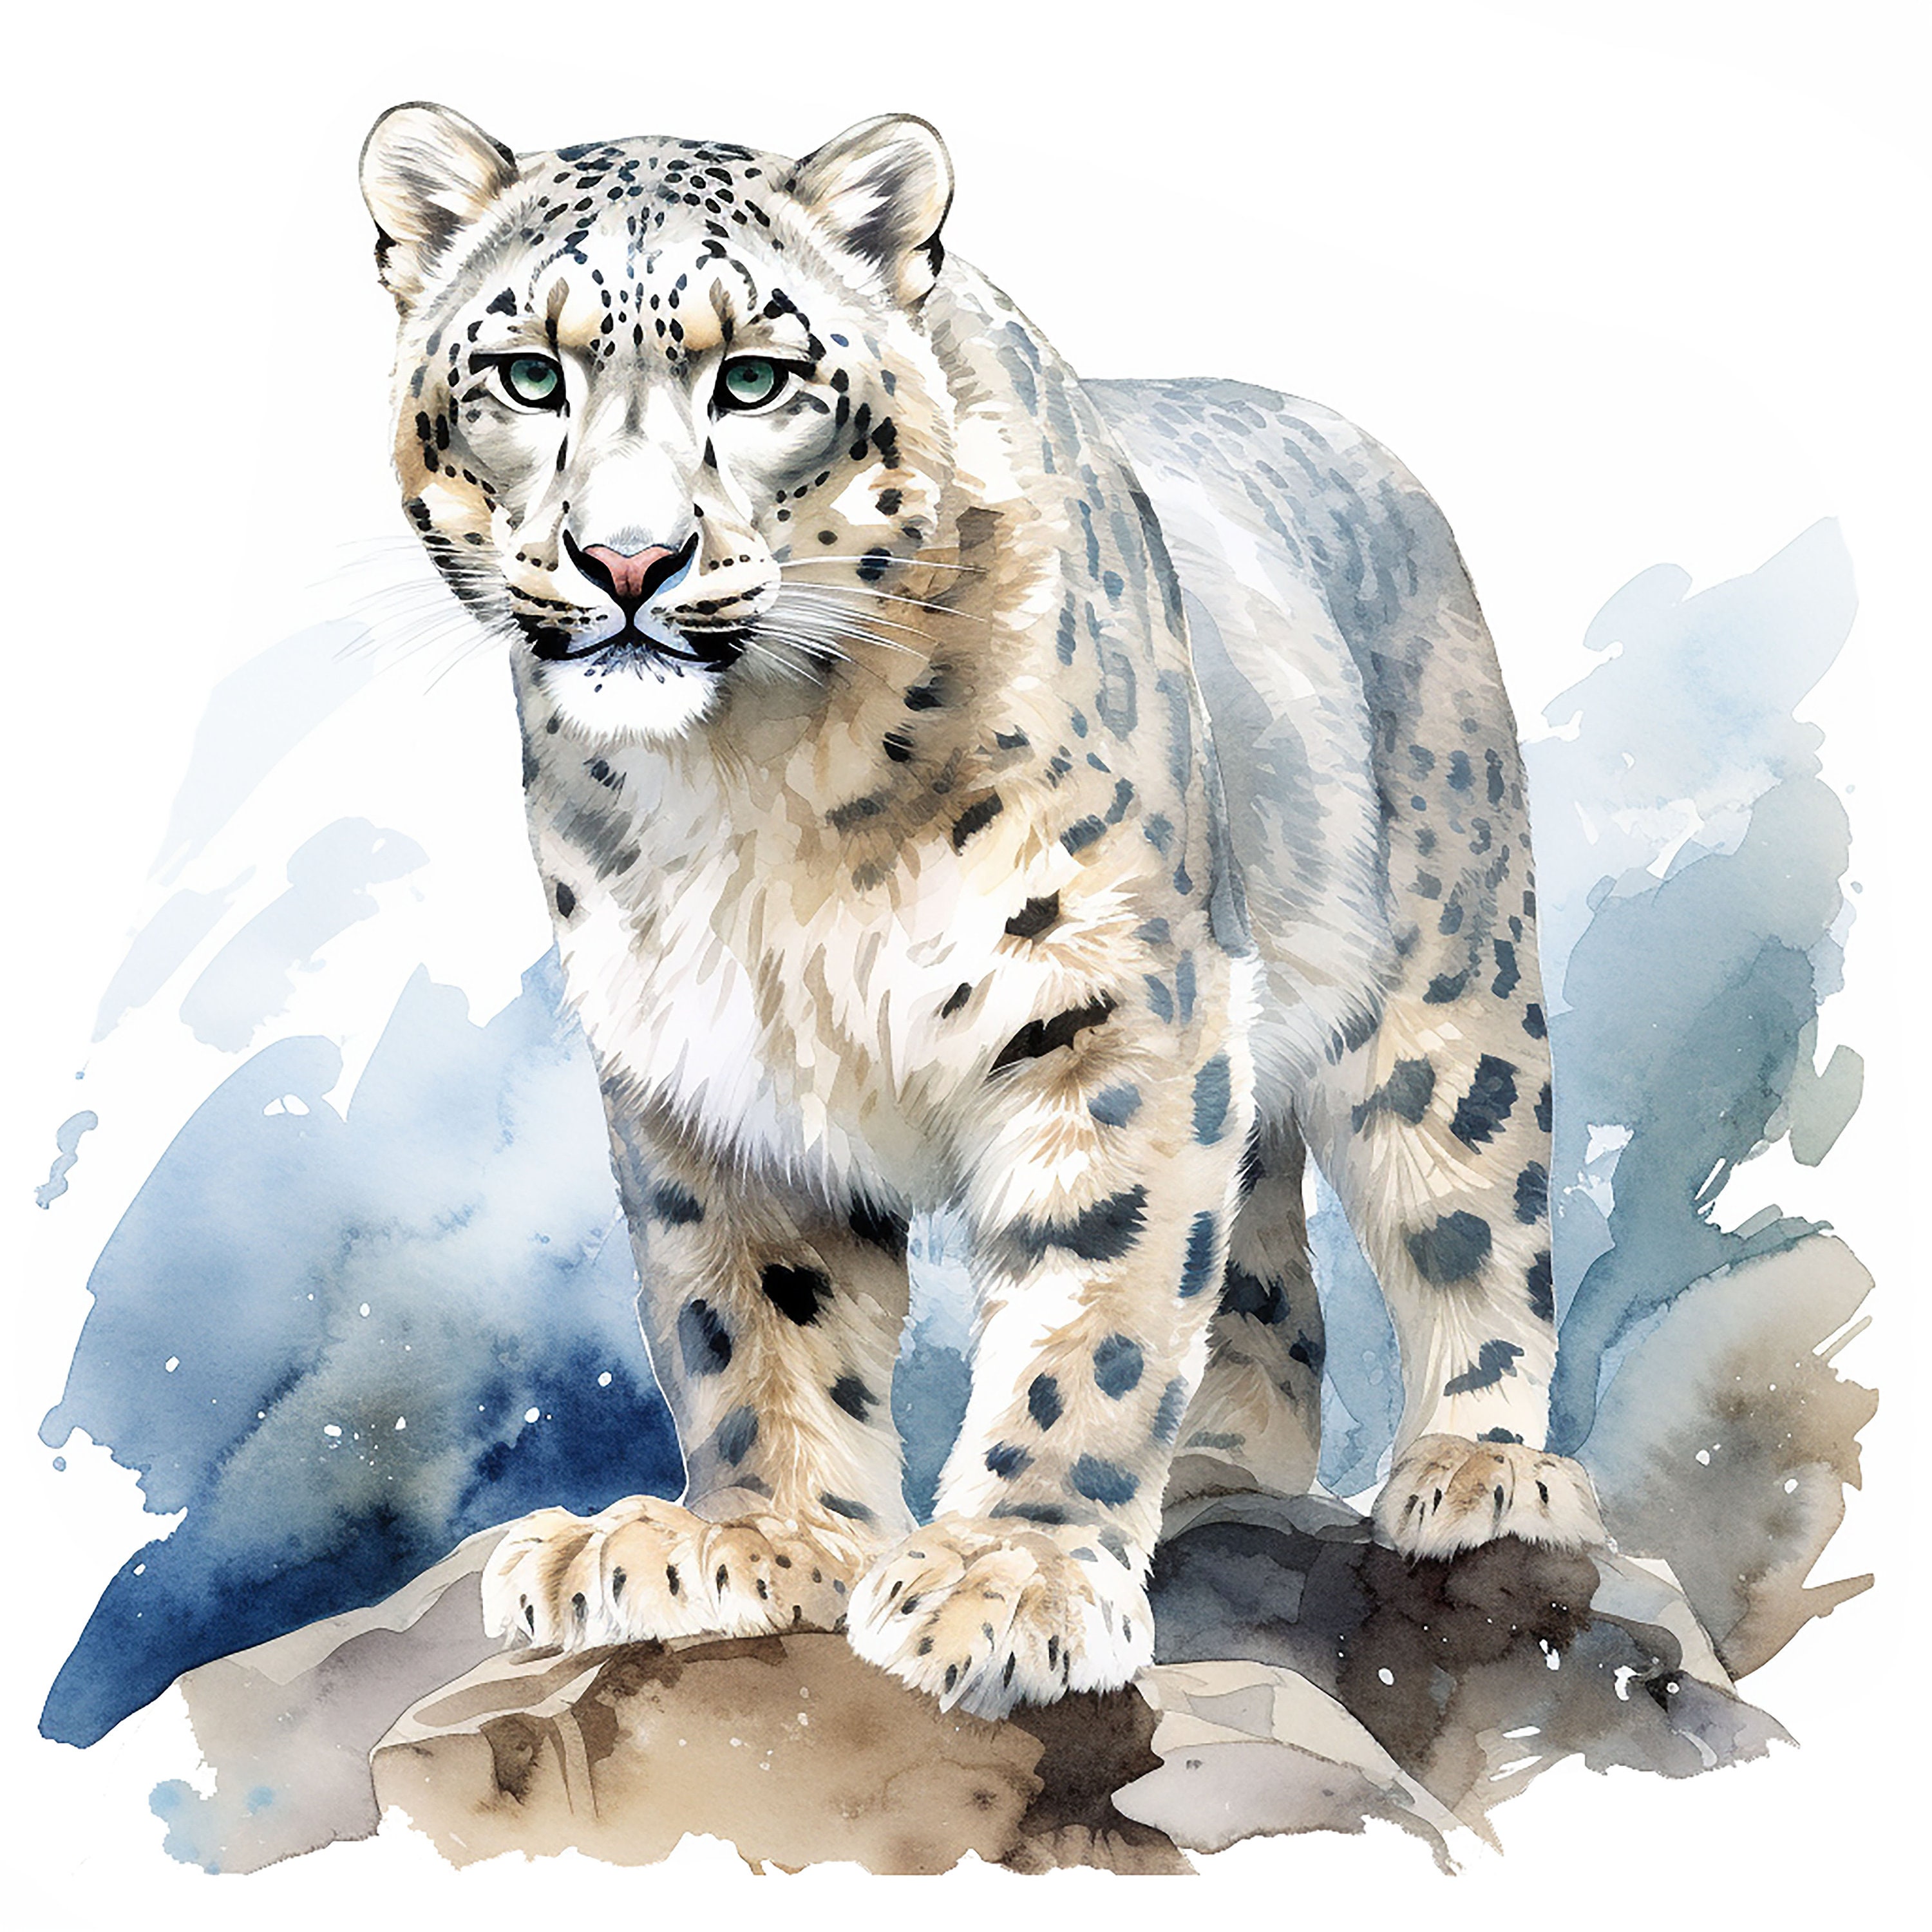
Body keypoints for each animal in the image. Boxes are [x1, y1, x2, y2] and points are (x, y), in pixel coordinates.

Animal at [359, 102, 1604, 1721]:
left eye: (753, 377)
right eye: (526, 373)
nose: (628, 560)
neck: (758, 781)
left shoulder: (1114, 1005)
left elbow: (1100, 1304)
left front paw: (1011, 1580)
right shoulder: (702, 1060)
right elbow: (748, 1317)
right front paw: (748, 1542)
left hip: (1444, 989)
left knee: (1470, 1214)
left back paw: (1478, 1469)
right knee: (1268, 1277)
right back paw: (1224, 1474)